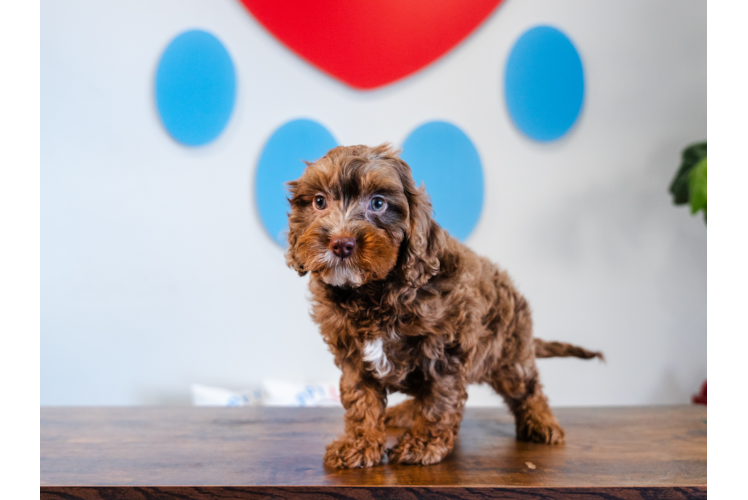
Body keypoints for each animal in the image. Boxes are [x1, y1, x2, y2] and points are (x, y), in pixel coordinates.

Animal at [284, 144, 600, 468]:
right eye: (319, 201)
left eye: (378, 203)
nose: (341, 243)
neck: (373, 293)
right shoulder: (353, 357)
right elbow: (362, 400)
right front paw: (359, 444)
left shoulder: (447, 349)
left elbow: (438, 400)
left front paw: (422, 445)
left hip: (509, 354)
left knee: (528, 388)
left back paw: (542, 422)